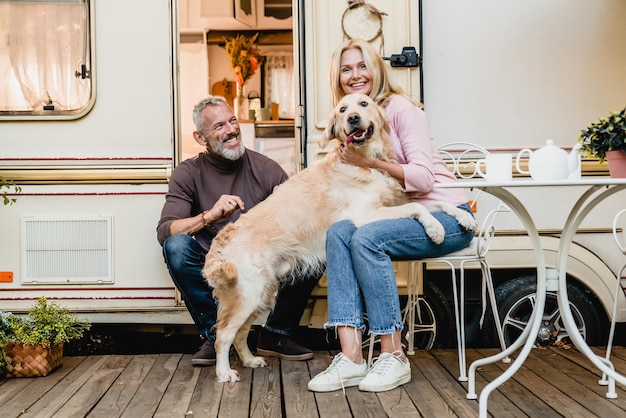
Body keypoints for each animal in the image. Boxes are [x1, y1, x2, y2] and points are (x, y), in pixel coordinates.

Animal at [202, 92, 476, 382]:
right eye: (343, 110)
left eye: (364, 104)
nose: (353, 118)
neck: (365, 161)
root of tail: (223, 240)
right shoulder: (366, 214)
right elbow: (418, 206)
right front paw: (436, 229)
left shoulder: (392, 203)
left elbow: (435, 204)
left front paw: (463, 217)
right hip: (249, 293)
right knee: (224, 334)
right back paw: (225, 373)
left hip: (262, 292)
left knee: (241, 332)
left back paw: (250, 360)